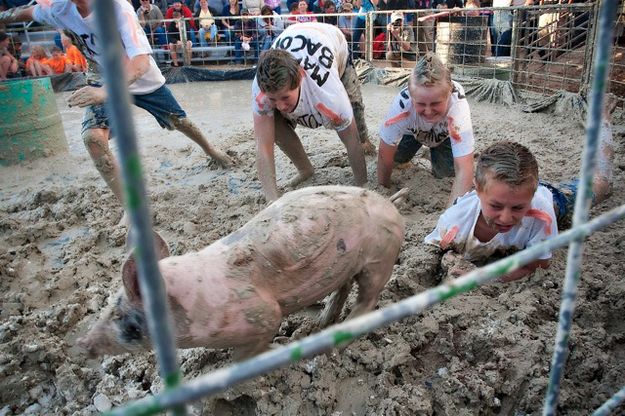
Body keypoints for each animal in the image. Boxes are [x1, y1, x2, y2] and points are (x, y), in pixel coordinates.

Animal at [77, 185, 404, 358]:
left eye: (121, 317)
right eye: (106, 304)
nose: (82, 344)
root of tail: (389, 202)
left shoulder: (263, 314)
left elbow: (250, 349)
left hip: (381, 256)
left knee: (368, 299)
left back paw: (335, 341)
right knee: (344, 287)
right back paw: (321, 323)